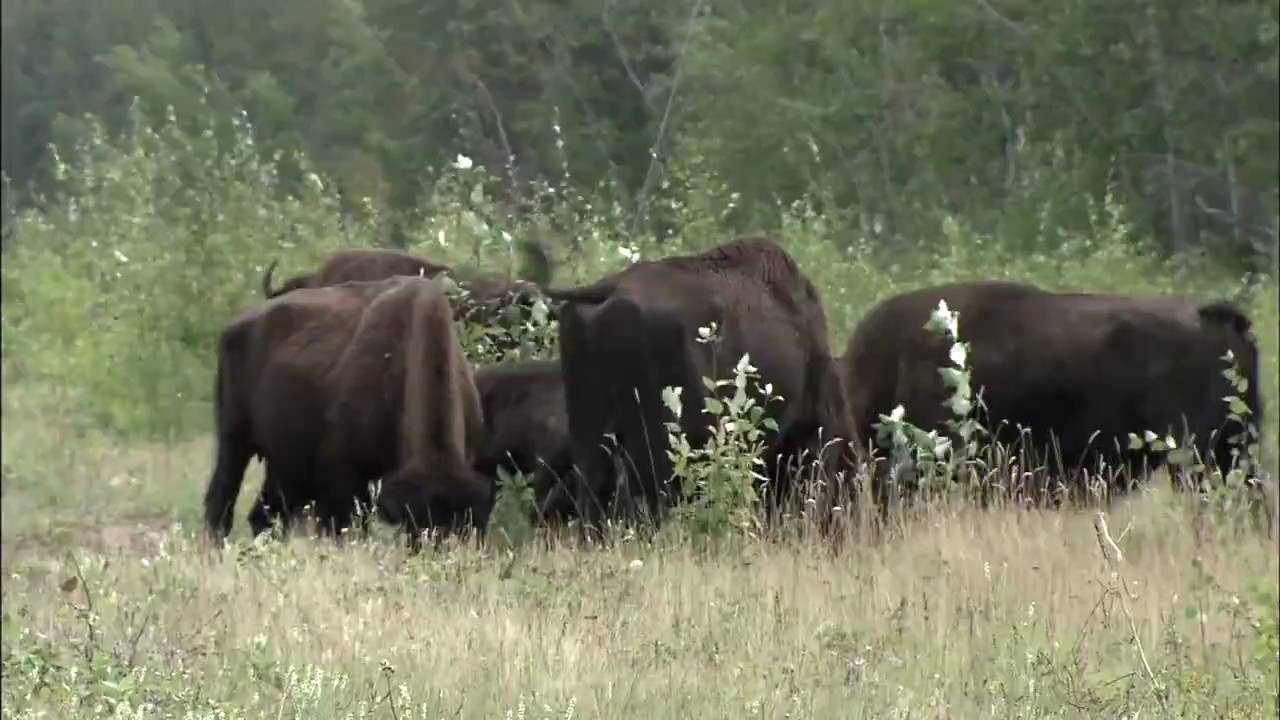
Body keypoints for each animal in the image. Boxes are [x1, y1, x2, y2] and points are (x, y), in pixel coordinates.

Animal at [203, 274, 492, 544]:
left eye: (463, 529)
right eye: (415, 525)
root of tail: (235, 326)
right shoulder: (344, 480)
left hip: (282, 462)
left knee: (263, 514)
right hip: (234, 442)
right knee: (221, 502)